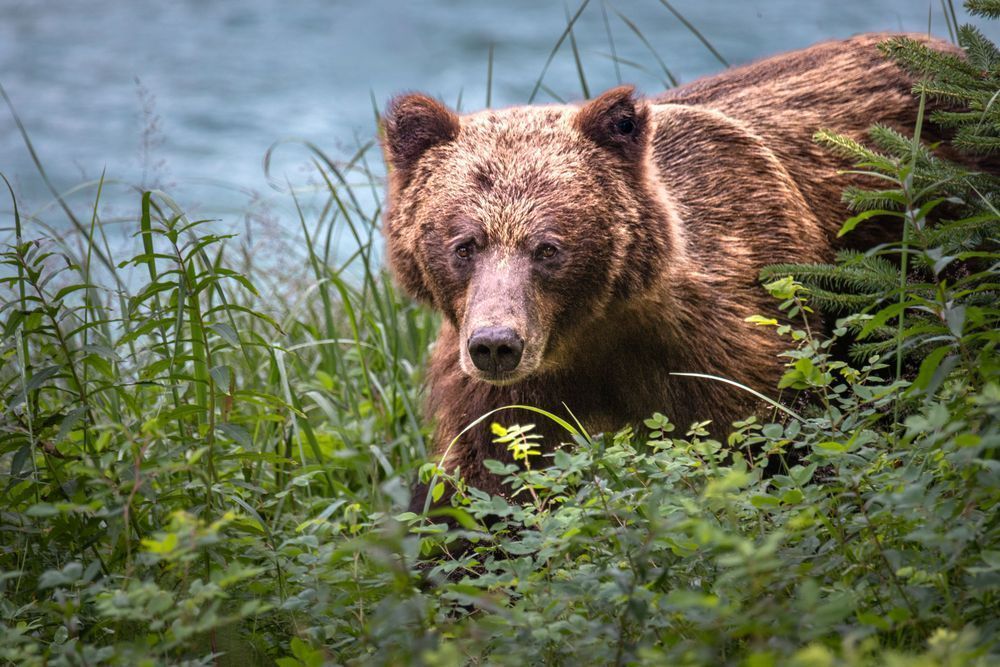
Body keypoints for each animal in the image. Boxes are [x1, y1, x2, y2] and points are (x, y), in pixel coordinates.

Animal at [380, 33, 963, 510]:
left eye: (547, 247)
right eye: (464, 245)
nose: (496, 344)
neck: (591, 333)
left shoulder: (732, 335)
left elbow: (779, 445)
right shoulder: (499, 392)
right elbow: (484, 490)